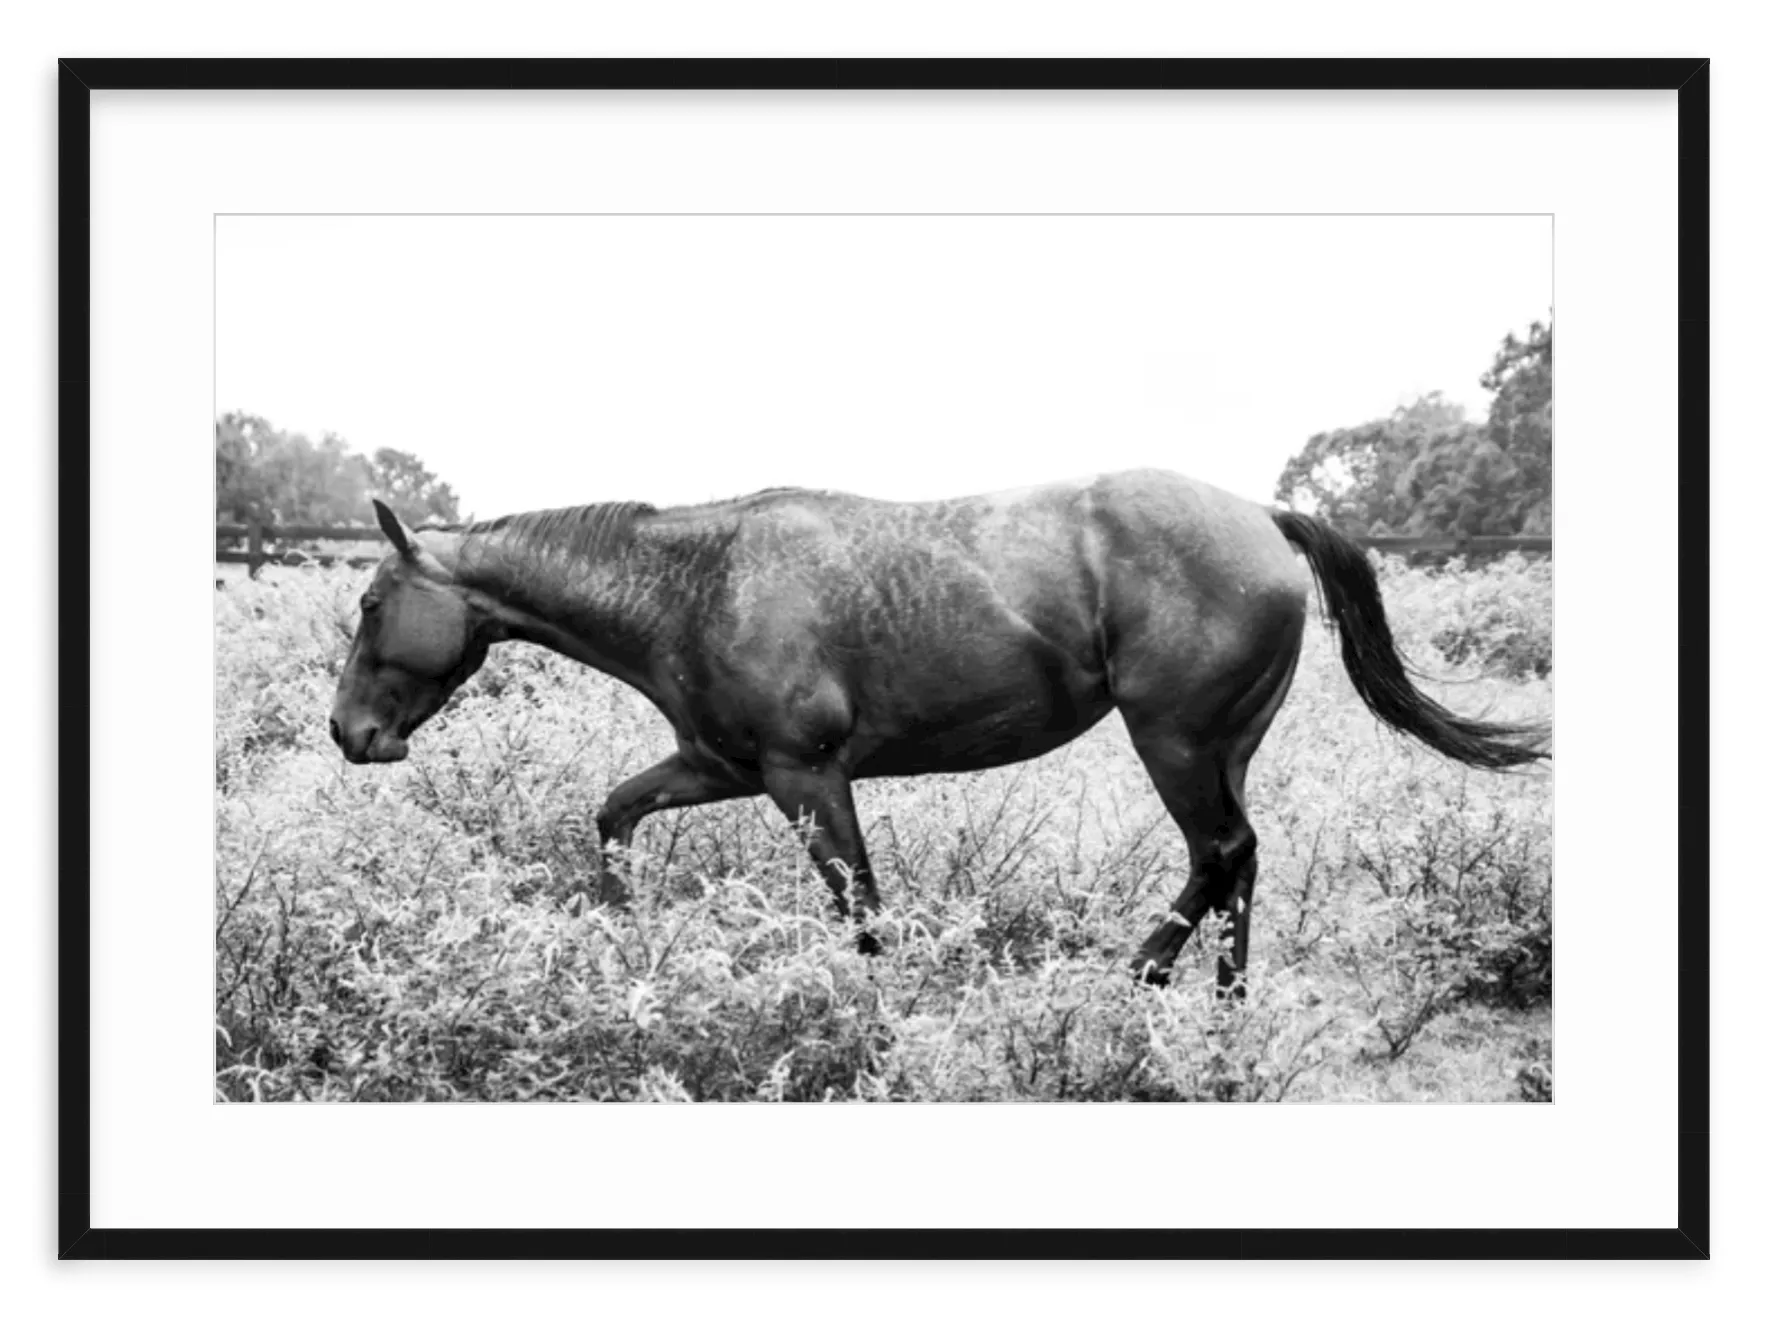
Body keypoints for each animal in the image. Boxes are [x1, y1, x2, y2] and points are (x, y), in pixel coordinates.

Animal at [326, 471, 1546, 992]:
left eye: (372, 603)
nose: (348, 732)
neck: (698, 584)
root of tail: (1263, 516)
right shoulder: (721, 765)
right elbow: (614, 814)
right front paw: (624, 936)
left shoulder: (806, 776)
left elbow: (862, 910)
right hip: (1223, 747)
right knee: (1241, 862)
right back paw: (1219, 1004)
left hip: (1175, 742)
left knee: (1219, 852)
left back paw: (1134, 978)